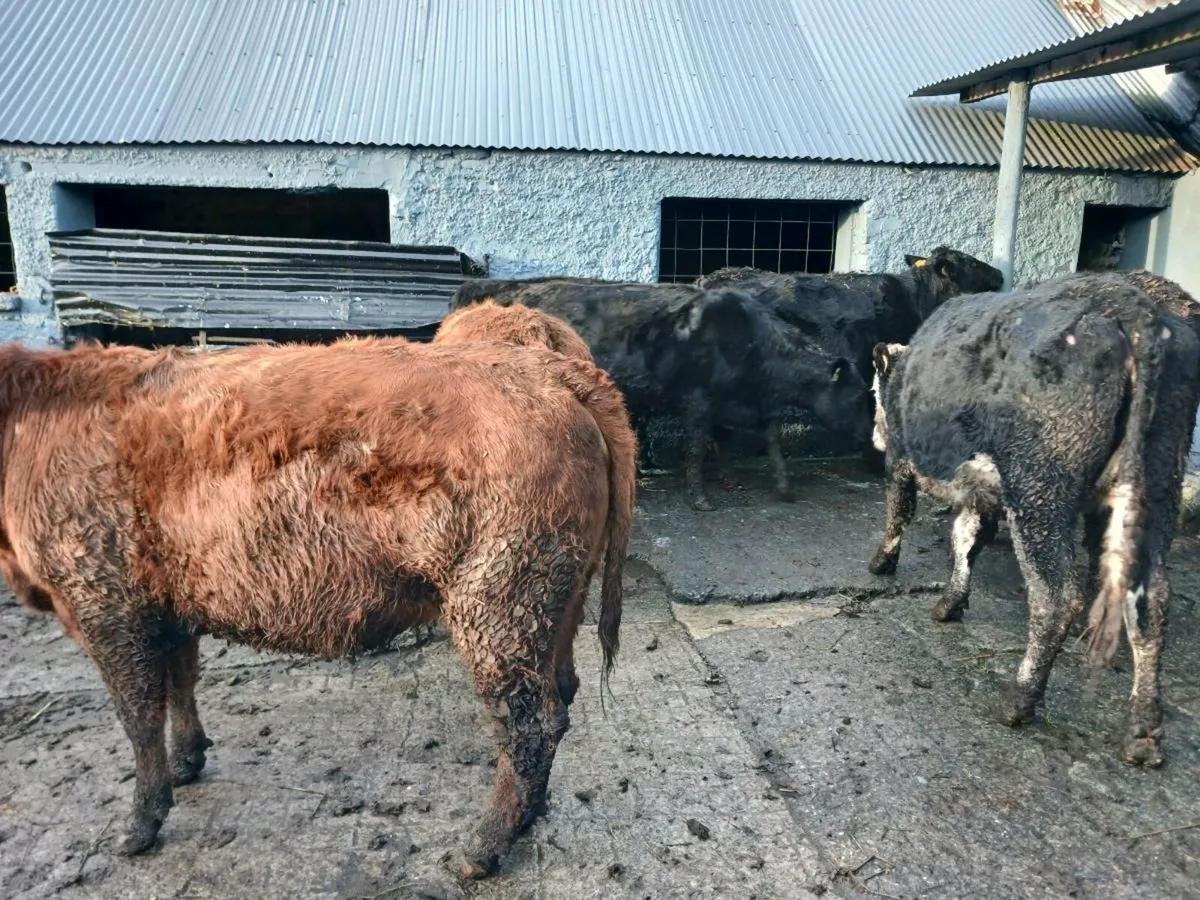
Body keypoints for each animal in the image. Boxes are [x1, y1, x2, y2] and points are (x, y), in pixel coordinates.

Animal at [0, 335, 637, 880]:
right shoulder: (167, 603)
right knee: (561, 694)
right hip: (558, 599)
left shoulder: (102, 600)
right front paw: (188, 762)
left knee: (530, 723)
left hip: (498, 598)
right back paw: (529, 817)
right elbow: (180, 681)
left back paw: (479, 850)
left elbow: (137, 714)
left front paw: (137, 829)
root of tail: (553, 371)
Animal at [450, 277, 870, 510]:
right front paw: (701, 499)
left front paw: (770, 485)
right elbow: (697, 447)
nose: (871, 438)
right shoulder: (699, 400)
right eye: (857, 397)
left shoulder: (747, 403)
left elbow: (762, 442)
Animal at [867, 272, 1200, 766]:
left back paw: (1019, 700)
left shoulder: (901, 462)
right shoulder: (982, 492)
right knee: (1151, 602)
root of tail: (1130, 305)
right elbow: (966, 539)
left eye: (874, 392)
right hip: (1156, 483)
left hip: (1040, 487)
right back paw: (1142, 734)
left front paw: (882, 563)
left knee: (1056, 597)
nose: (873, 433)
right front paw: (950, 603)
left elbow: (901, 513)